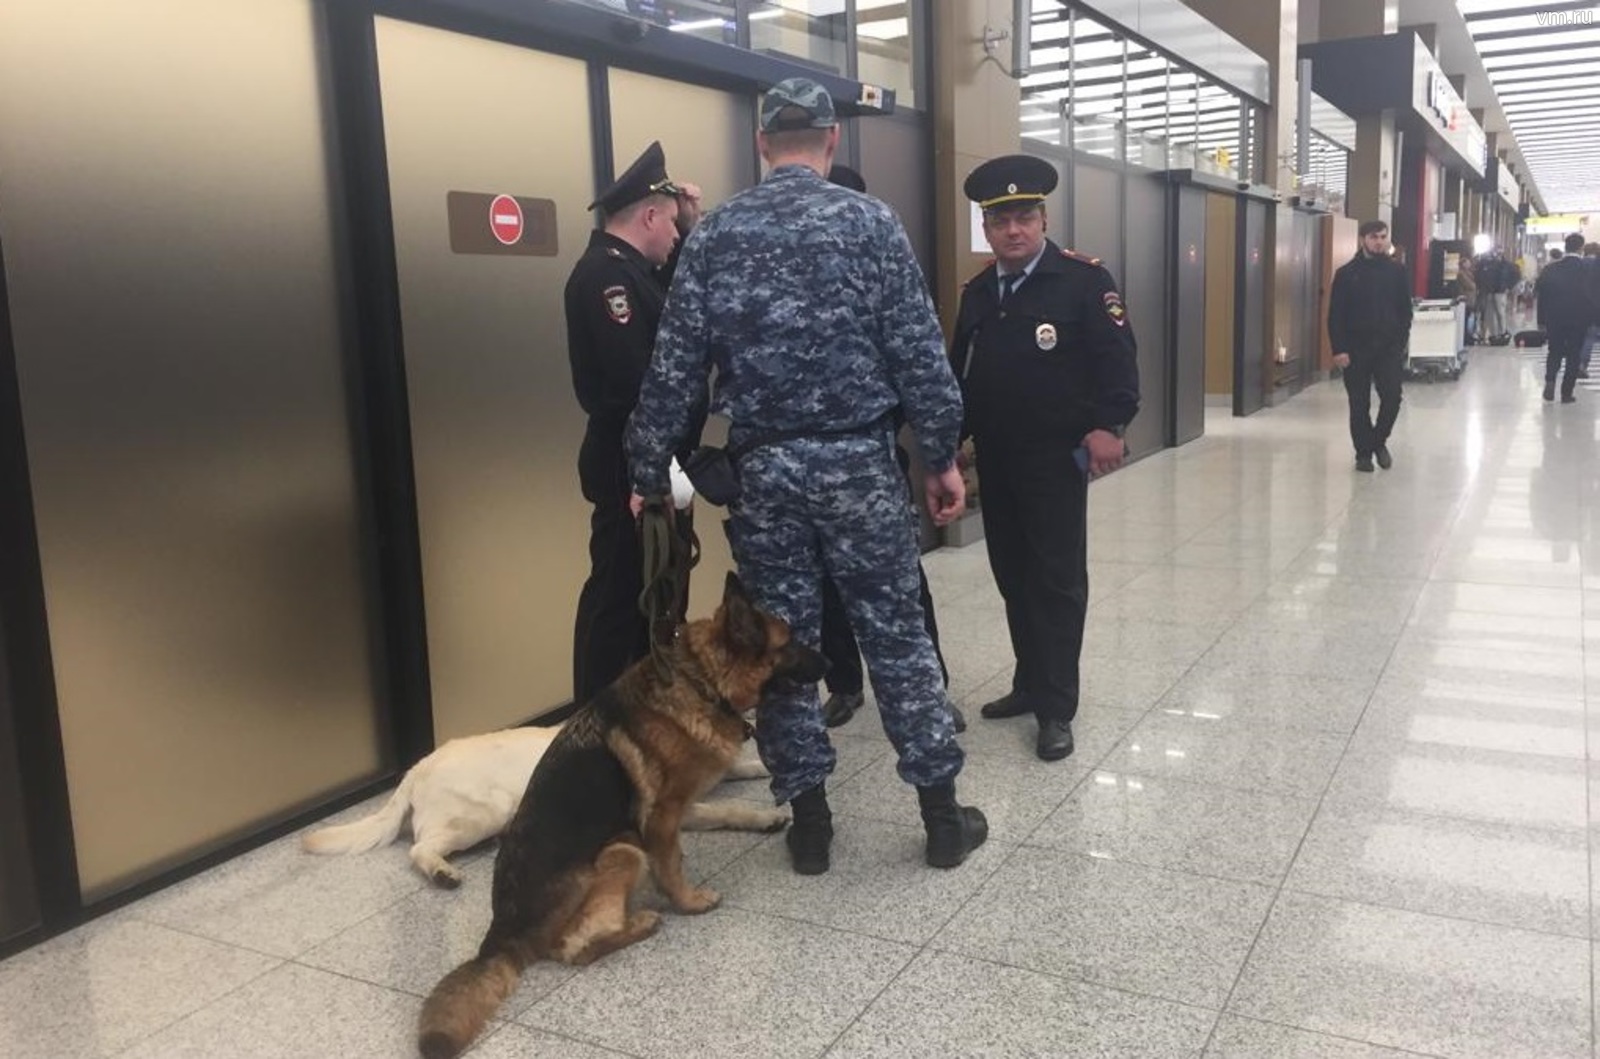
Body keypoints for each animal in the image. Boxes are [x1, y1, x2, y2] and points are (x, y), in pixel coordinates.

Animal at [300, 726, 780, 889]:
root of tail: (416, 768)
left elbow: (739, 771)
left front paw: (763, 767)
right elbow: (730, 809)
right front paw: (768, 816)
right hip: (484, 811)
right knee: (419, 848)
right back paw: (442, 872)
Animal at [416, 575, 825, 1059]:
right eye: (790, 642)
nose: (830, 660)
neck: (701, 681)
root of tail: (500, 933)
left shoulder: (683, 808)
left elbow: (725, 807)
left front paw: (761, 809)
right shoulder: (663, 816)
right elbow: (673, 865)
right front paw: (690, 901)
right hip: (623, 849)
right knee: (575, 946)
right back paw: (642, 922)